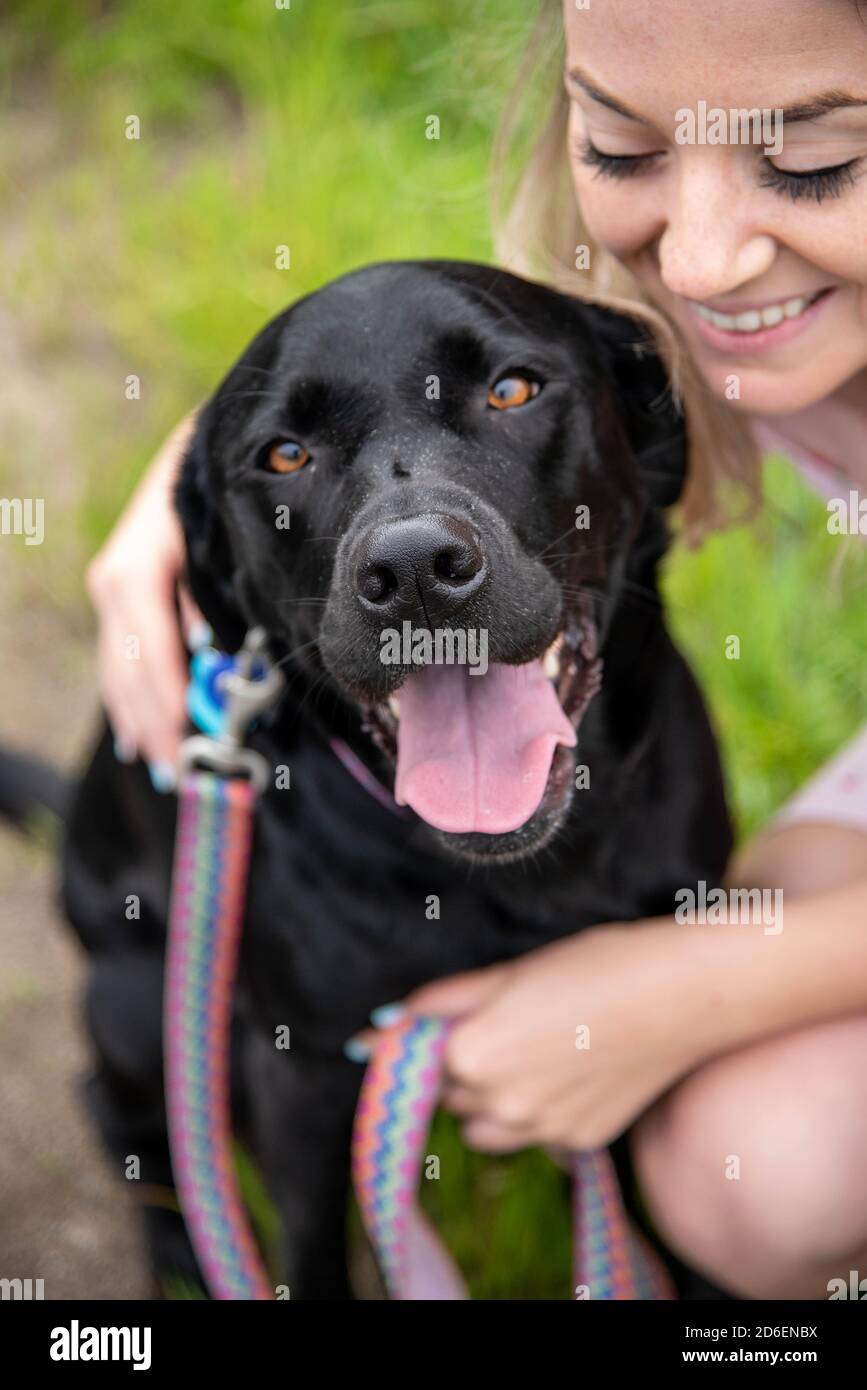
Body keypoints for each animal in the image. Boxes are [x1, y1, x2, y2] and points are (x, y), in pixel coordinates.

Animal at [57, 262, 728, 1301]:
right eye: (284, 454)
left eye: (512, 390)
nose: (413, 570)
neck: (522, 875)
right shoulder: (300, 1070)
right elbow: (309, 1253)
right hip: (133, 1001)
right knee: (129, 1122)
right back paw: (179, 1255)